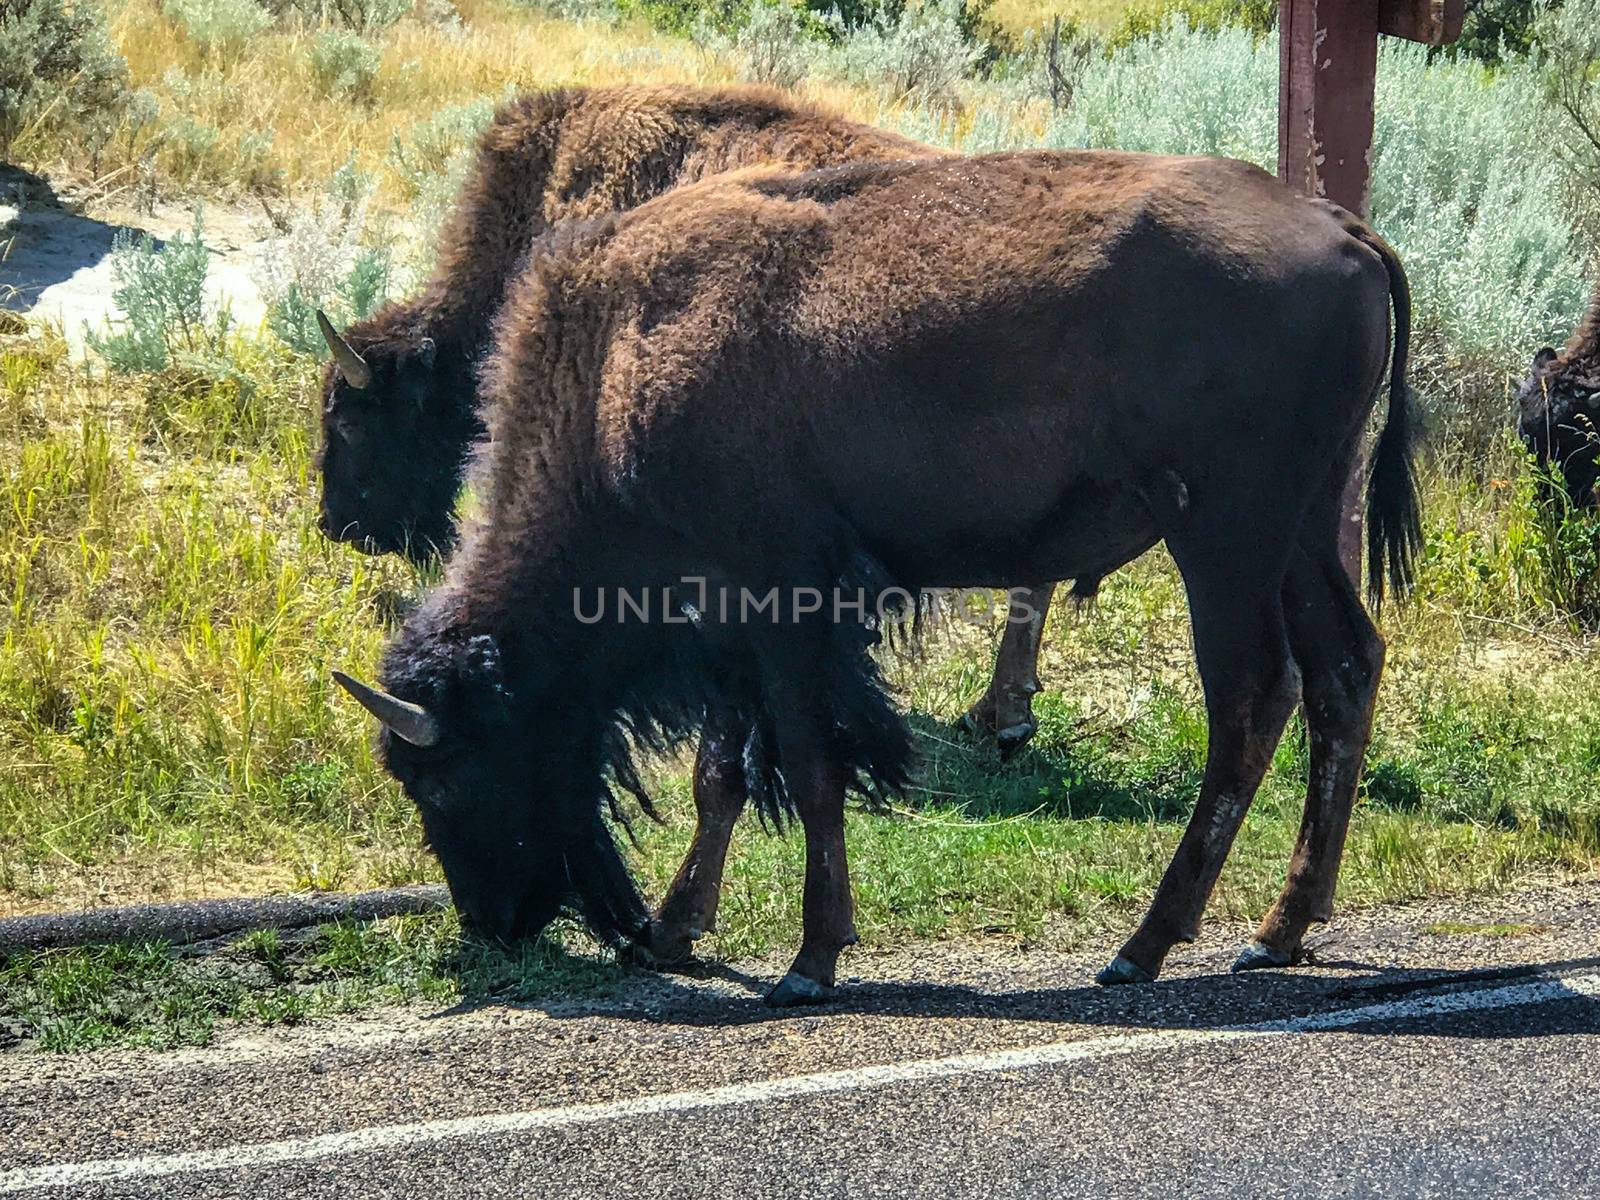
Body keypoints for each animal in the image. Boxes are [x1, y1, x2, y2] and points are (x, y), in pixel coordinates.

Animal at [331, 150, 1420, 1004]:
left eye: (445, 774)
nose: (492, 920)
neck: (622, 358)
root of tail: (1341, 227)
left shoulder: (783, 603)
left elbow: (812, 767)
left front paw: (809, 961)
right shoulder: (728, 624)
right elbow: (722, 774)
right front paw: (678, 932)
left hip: (1222, 536)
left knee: (1252, 698)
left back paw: (1142, 947)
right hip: (1303, 527)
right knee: (1344, 669)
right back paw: (1279, 930)